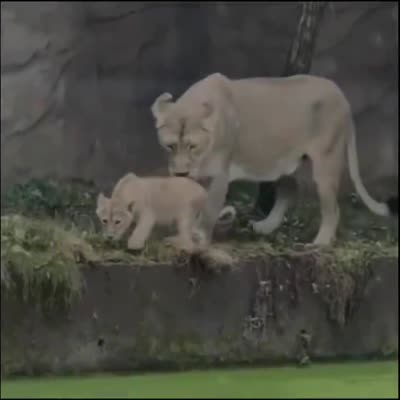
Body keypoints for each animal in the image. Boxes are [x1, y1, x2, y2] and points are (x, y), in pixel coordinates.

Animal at [151, 73, 396, 245]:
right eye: (170, 146)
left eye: (192, 146)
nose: (181, 173)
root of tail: (341, 96)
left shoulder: (220, 174)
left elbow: (209, 209)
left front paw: (199, 237)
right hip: (286, 162)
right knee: (289, 191)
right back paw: (265, 227)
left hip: (326, 160)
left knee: (332, 209)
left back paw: (320, 244)